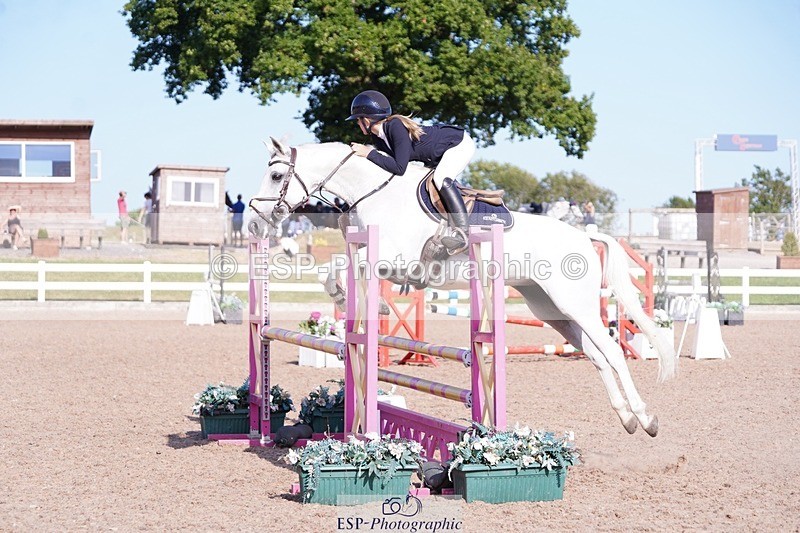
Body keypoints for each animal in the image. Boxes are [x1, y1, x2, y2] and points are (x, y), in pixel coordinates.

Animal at [249, 138, 676, 437]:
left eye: (276, 176)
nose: (254, 220)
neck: (374, 193)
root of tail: (585, 236)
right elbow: (334, 267)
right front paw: (355, 301)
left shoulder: (395, 259)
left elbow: (343, 266)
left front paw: (370, 305)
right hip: (551, 310)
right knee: (596, 355)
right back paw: (627, 419)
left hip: (576, 305)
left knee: (613, 352)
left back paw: (646, 418)